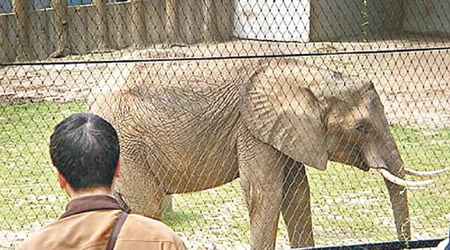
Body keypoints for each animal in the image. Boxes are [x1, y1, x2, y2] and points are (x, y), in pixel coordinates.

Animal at [88, 57, 442, 249]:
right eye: (361, 128)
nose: (406, 244)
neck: (307, 74)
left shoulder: (289, 133)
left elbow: (297, 194)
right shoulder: (252, 128)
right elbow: (265, 194)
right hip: (129, 146)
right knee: (147, 208)